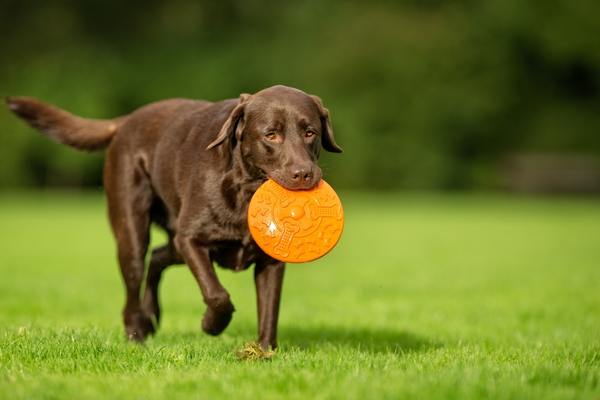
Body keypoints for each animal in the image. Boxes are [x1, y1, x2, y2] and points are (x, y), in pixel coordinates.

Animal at [7, 85, 342, 350]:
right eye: (271, 135)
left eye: (310, 132)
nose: (304, 174)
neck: (245, 189)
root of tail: (127, 120)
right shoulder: (191, 239)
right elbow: (216, 294)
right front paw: (211, 324)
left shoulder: (270, 261)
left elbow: (270, 310)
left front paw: (264, 352)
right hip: (133, 232)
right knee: (135, 280)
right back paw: (137, 332)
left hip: (173, 242)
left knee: (157, 257)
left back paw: (152, 316)